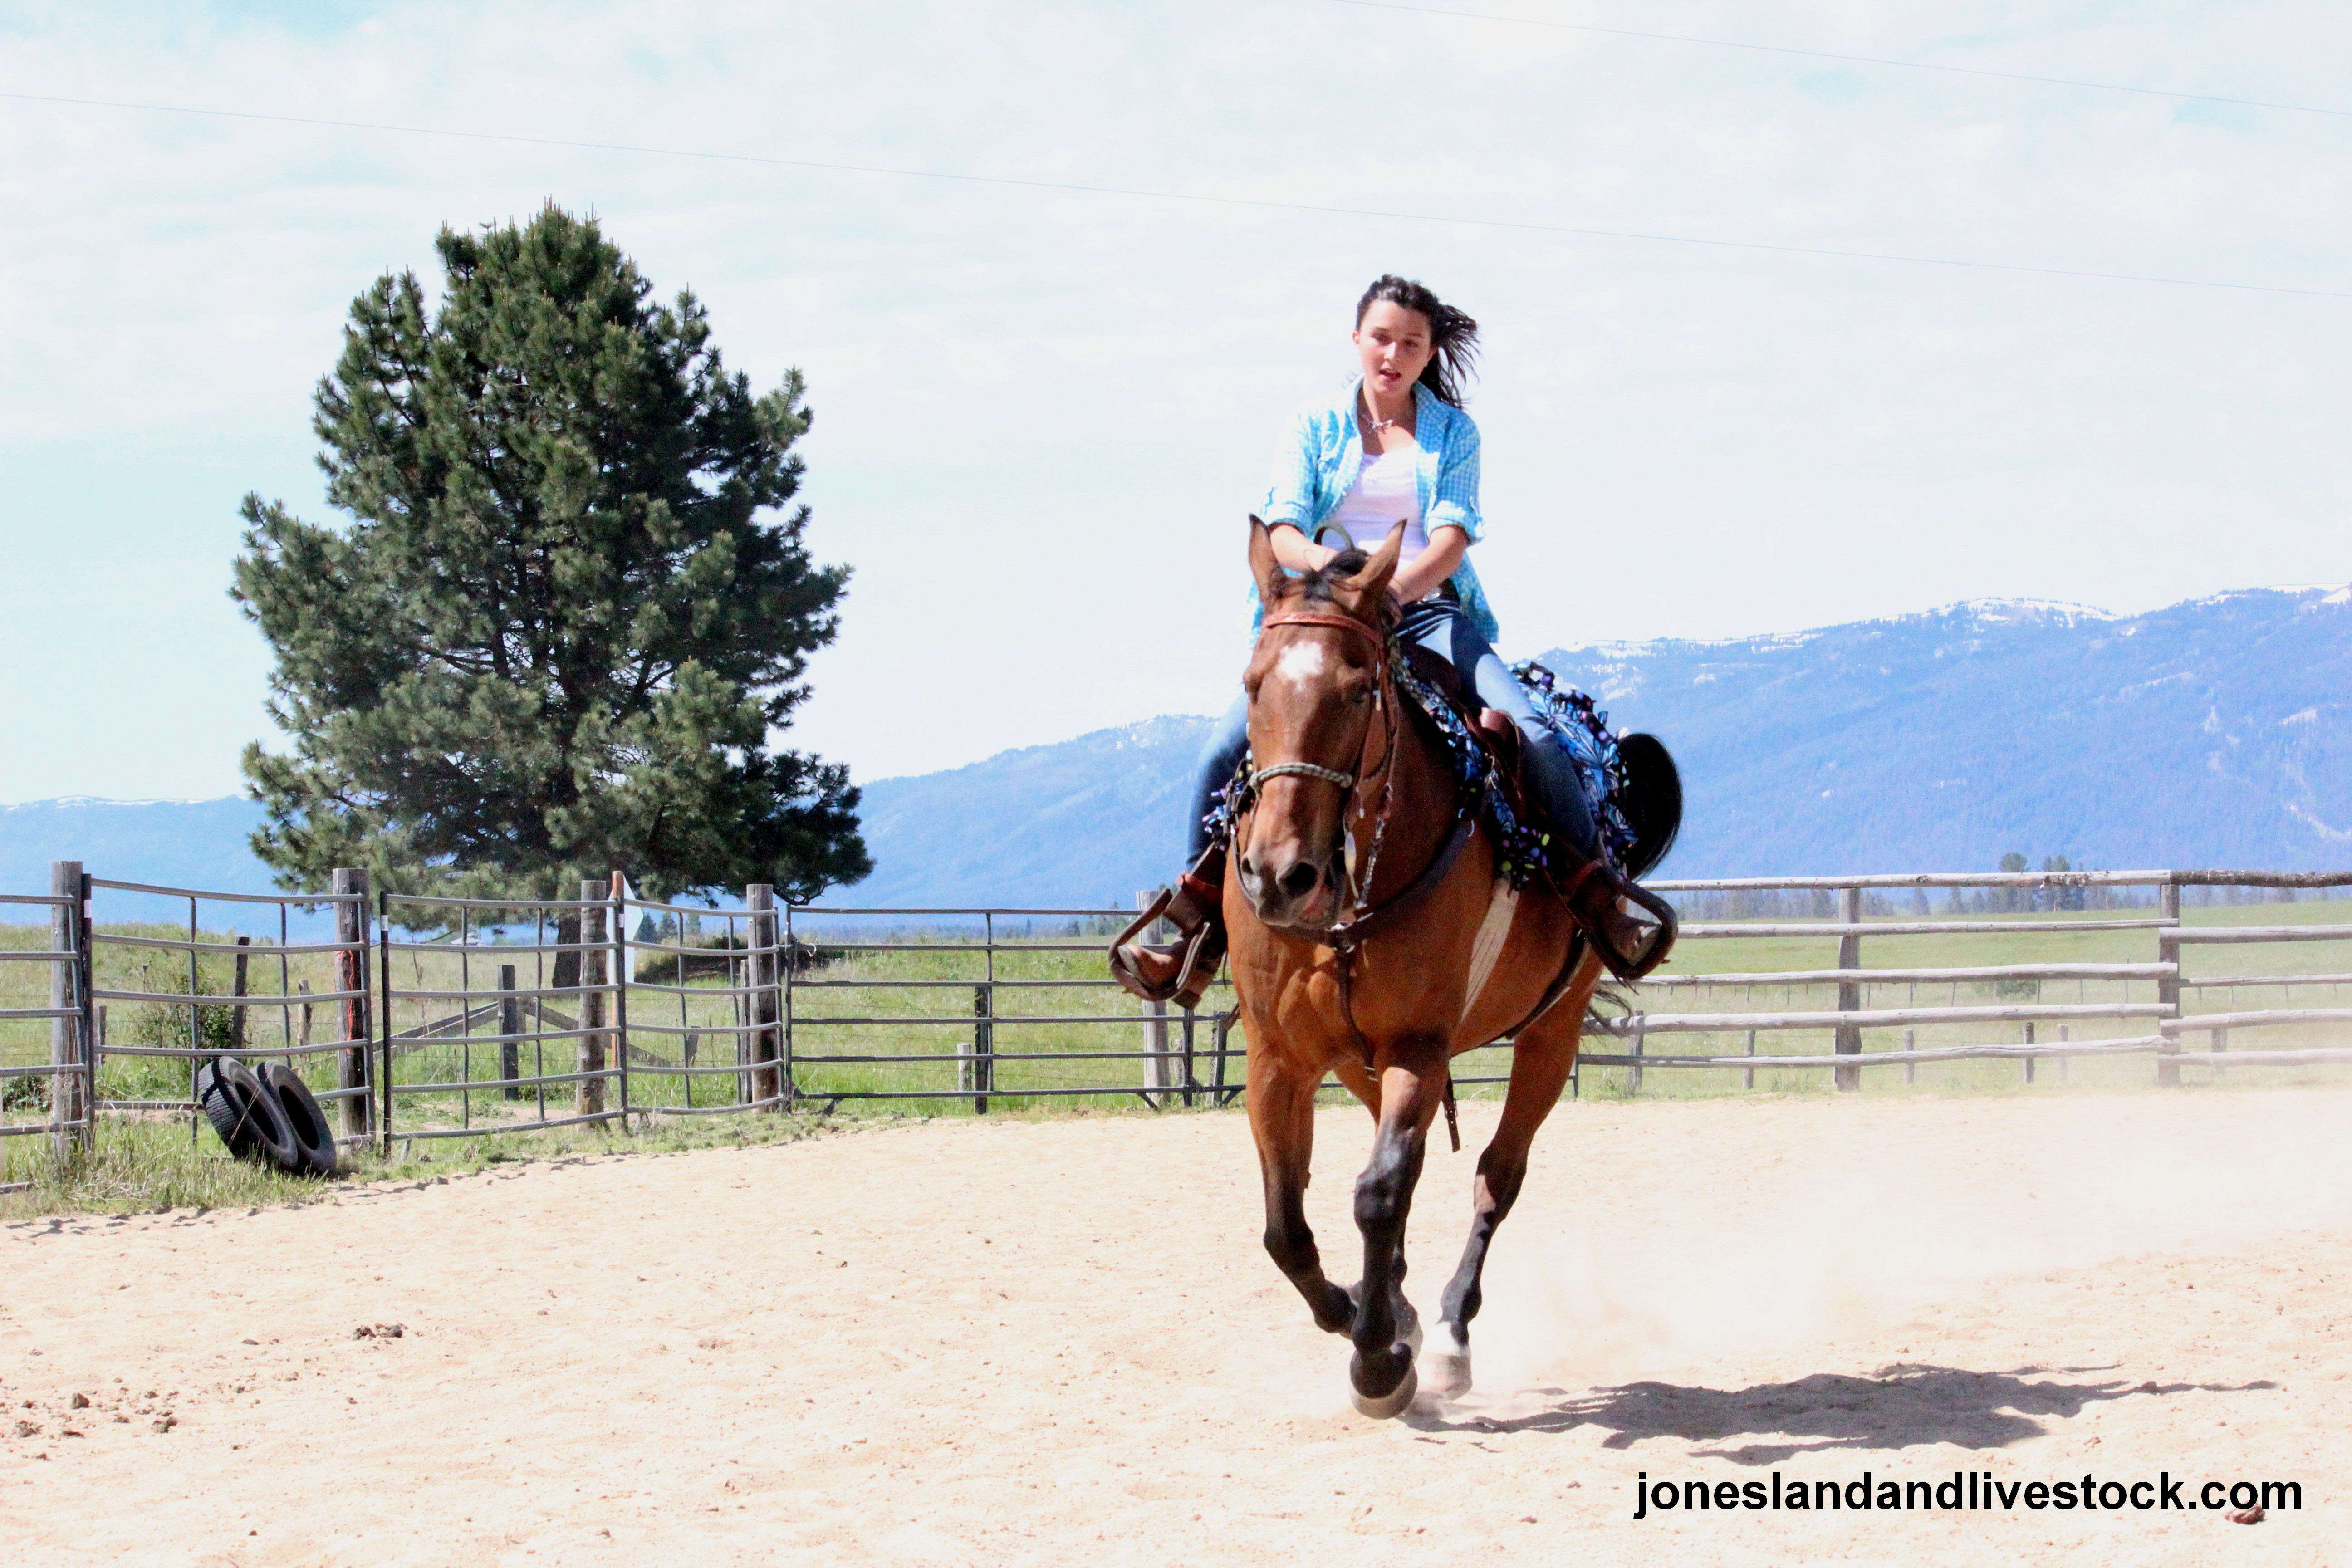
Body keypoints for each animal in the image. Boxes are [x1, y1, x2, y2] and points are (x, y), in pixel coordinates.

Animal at [1226, 516, 1625, 1418]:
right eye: (1253, 685)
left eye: (1355, 689)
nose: (1280, 876)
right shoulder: (1278, 1056)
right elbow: (1284, 1227)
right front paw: (1362, 1314)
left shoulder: (1419, 1043)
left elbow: (1378, 1193)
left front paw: (1380, 1360)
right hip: (1358, 1059)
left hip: (1551, 1034)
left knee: (1495, 1178)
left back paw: (1444, 1333)